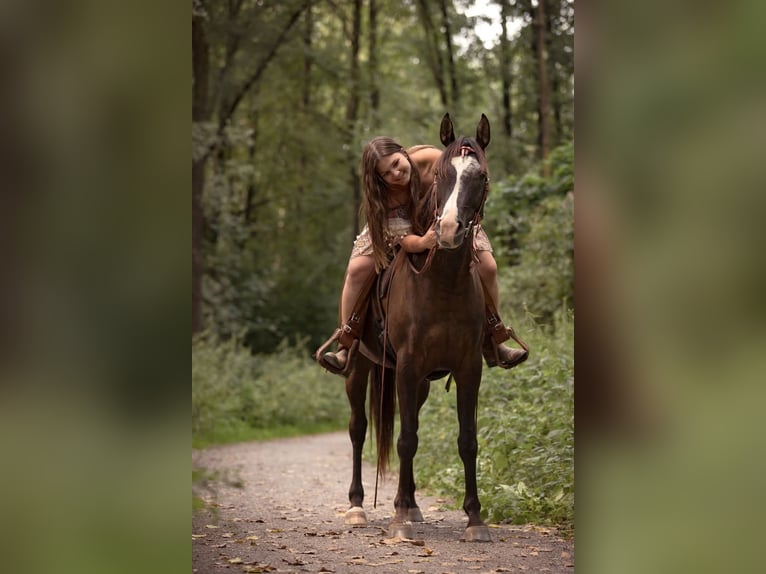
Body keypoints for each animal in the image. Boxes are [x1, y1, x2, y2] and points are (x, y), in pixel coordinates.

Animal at [342, 113, 493, 543]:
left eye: (480, 176)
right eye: (441, 174)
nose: (449, 229)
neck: (442, 284)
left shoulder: (468, 368)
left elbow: (467, 440)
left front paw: (475, 519)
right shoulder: (407, 366)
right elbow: (405, 439)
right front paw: (398, 523)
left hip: (421, 382)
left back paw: (409, 504)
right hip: (359, 368)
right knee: (359, 429)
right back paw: (358, 507)